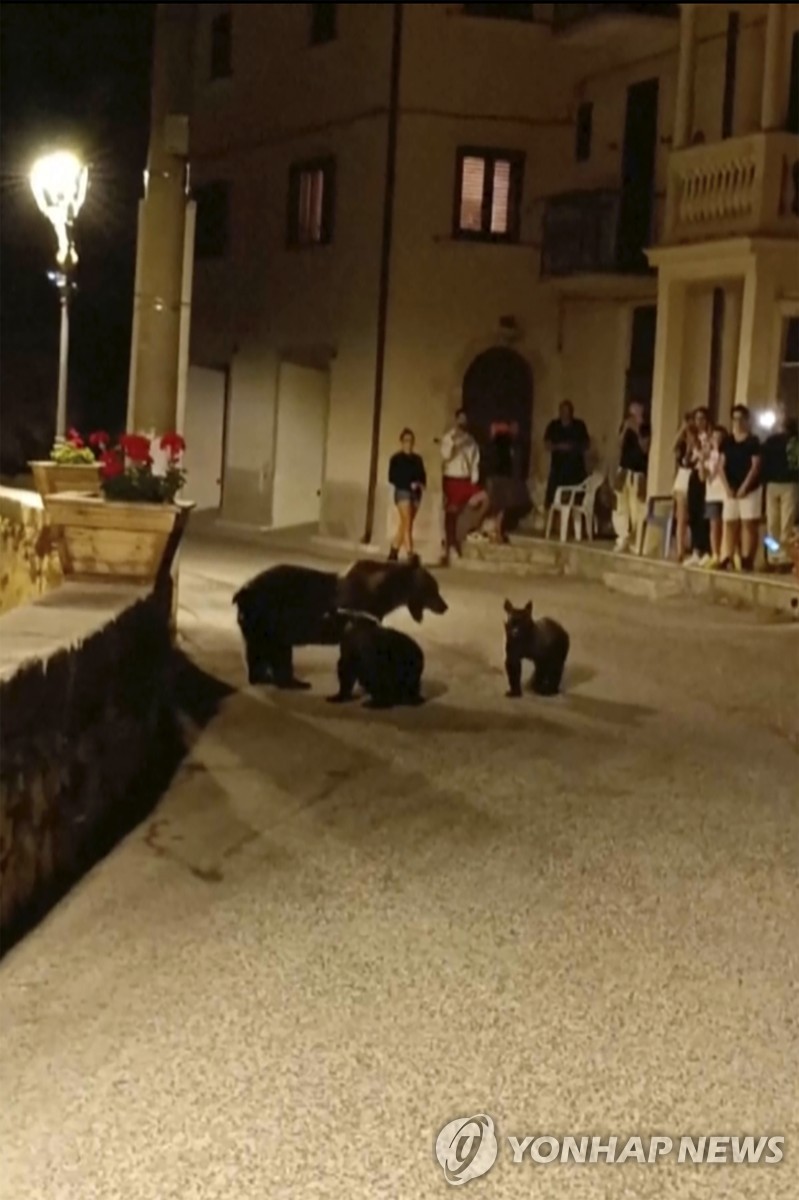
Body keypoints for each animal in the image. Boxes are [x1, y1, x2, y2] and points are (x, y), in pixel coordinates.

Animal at [231, 554, 448, 691]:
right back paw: (292, 682)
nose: (445, 606)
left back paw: (265, 677)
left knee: (259, 650)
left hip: (261, 623)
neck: (384, 593)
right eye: (434, 588)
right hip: (271, 616)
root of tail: (242, 592)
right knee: (275, 651)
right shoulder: (360, 610)